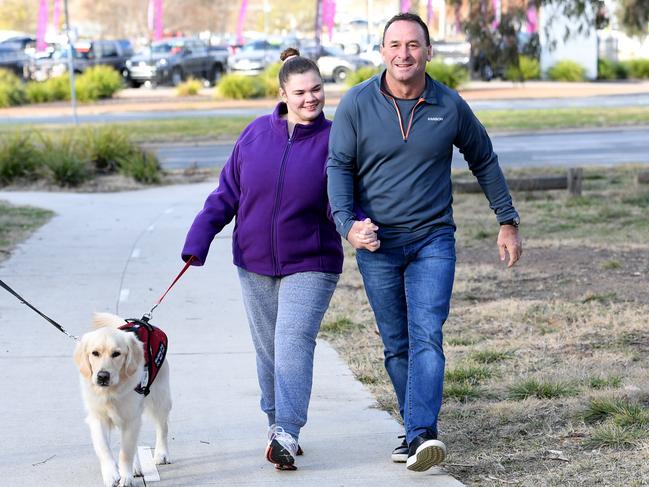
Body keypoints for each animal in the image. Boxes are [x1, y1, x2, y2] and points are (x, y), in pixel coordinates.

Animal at [73, 312, 171, 487]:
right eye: (95, 353)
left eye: (116, 354)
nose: (102, 376)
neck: (111, 392)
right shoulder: (98, 418)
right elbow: (104, 448)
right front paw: (111, 474)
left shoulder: (131, 418)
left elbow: (126, 452)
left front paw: (126, 477)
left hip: (160, 398)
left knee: (162, 427)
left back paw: (161, 454)